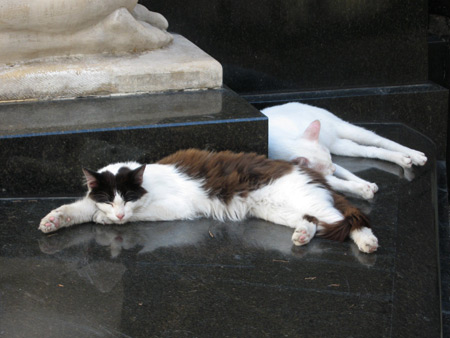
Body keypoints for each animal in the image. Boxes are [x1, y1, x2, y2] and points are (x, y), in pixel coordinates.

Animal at [37, 149, 380, 254]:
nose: (117, 213)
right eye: (109, 199)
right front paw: (52, 220)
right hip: (278, 210)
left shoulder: (176, 207)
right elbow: (75, 209)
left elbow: (139, 215)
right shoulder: (90, 199)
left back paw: (368, 243)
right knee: (314, 221)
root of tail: (312, 173)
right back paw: (302, 235)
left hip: (301, 199)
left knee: (351, 220)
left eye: (127, 198)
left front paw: (106, 220)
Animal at [262, 101, 428, 199]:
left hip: (346, 129)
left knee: (380, 141)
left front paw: (365, 186)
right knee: (369, 151)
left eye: (330, 162)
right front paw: (364, 187)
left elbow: (346, 175)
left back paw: (413, 155)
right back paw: (403, 158)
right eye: (326, 168)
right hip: (341, 146)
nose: (333, 169)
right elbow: (340, 182)